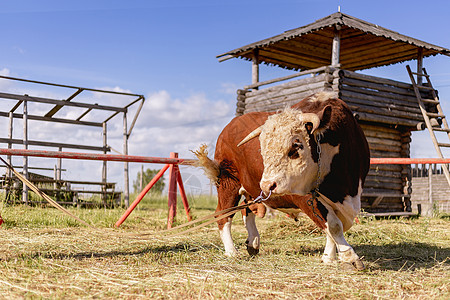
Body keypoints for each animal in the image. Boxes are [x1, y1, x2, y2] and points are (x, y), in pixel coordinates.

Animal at [193, 91, 370, 270]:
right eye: (262, 150)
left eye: (295, 147)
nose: (266, 185)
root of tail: (229, 127)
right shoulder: (304, 195)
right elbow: (333, 225)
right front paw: (349, 257)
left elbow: (332, 227)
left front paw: (329, 257)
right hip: (228, 184)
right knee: (223, 215)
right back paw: (231, 251)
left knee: (246, 208)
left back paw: (253, 242)